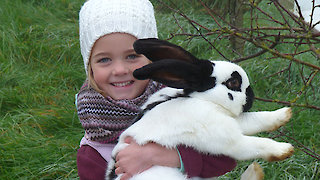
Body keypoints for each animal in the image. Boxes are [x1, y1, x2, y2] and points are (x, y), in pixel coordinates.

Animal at [105, 38, 296, 179]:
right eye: (233, 82)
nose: (251, 98)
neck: (203, 100)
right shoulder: (226, 137)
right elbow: (254, 144)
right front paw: (285, 150)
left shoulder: (233, 121)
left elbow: (256, 119)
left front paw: (285, 114)